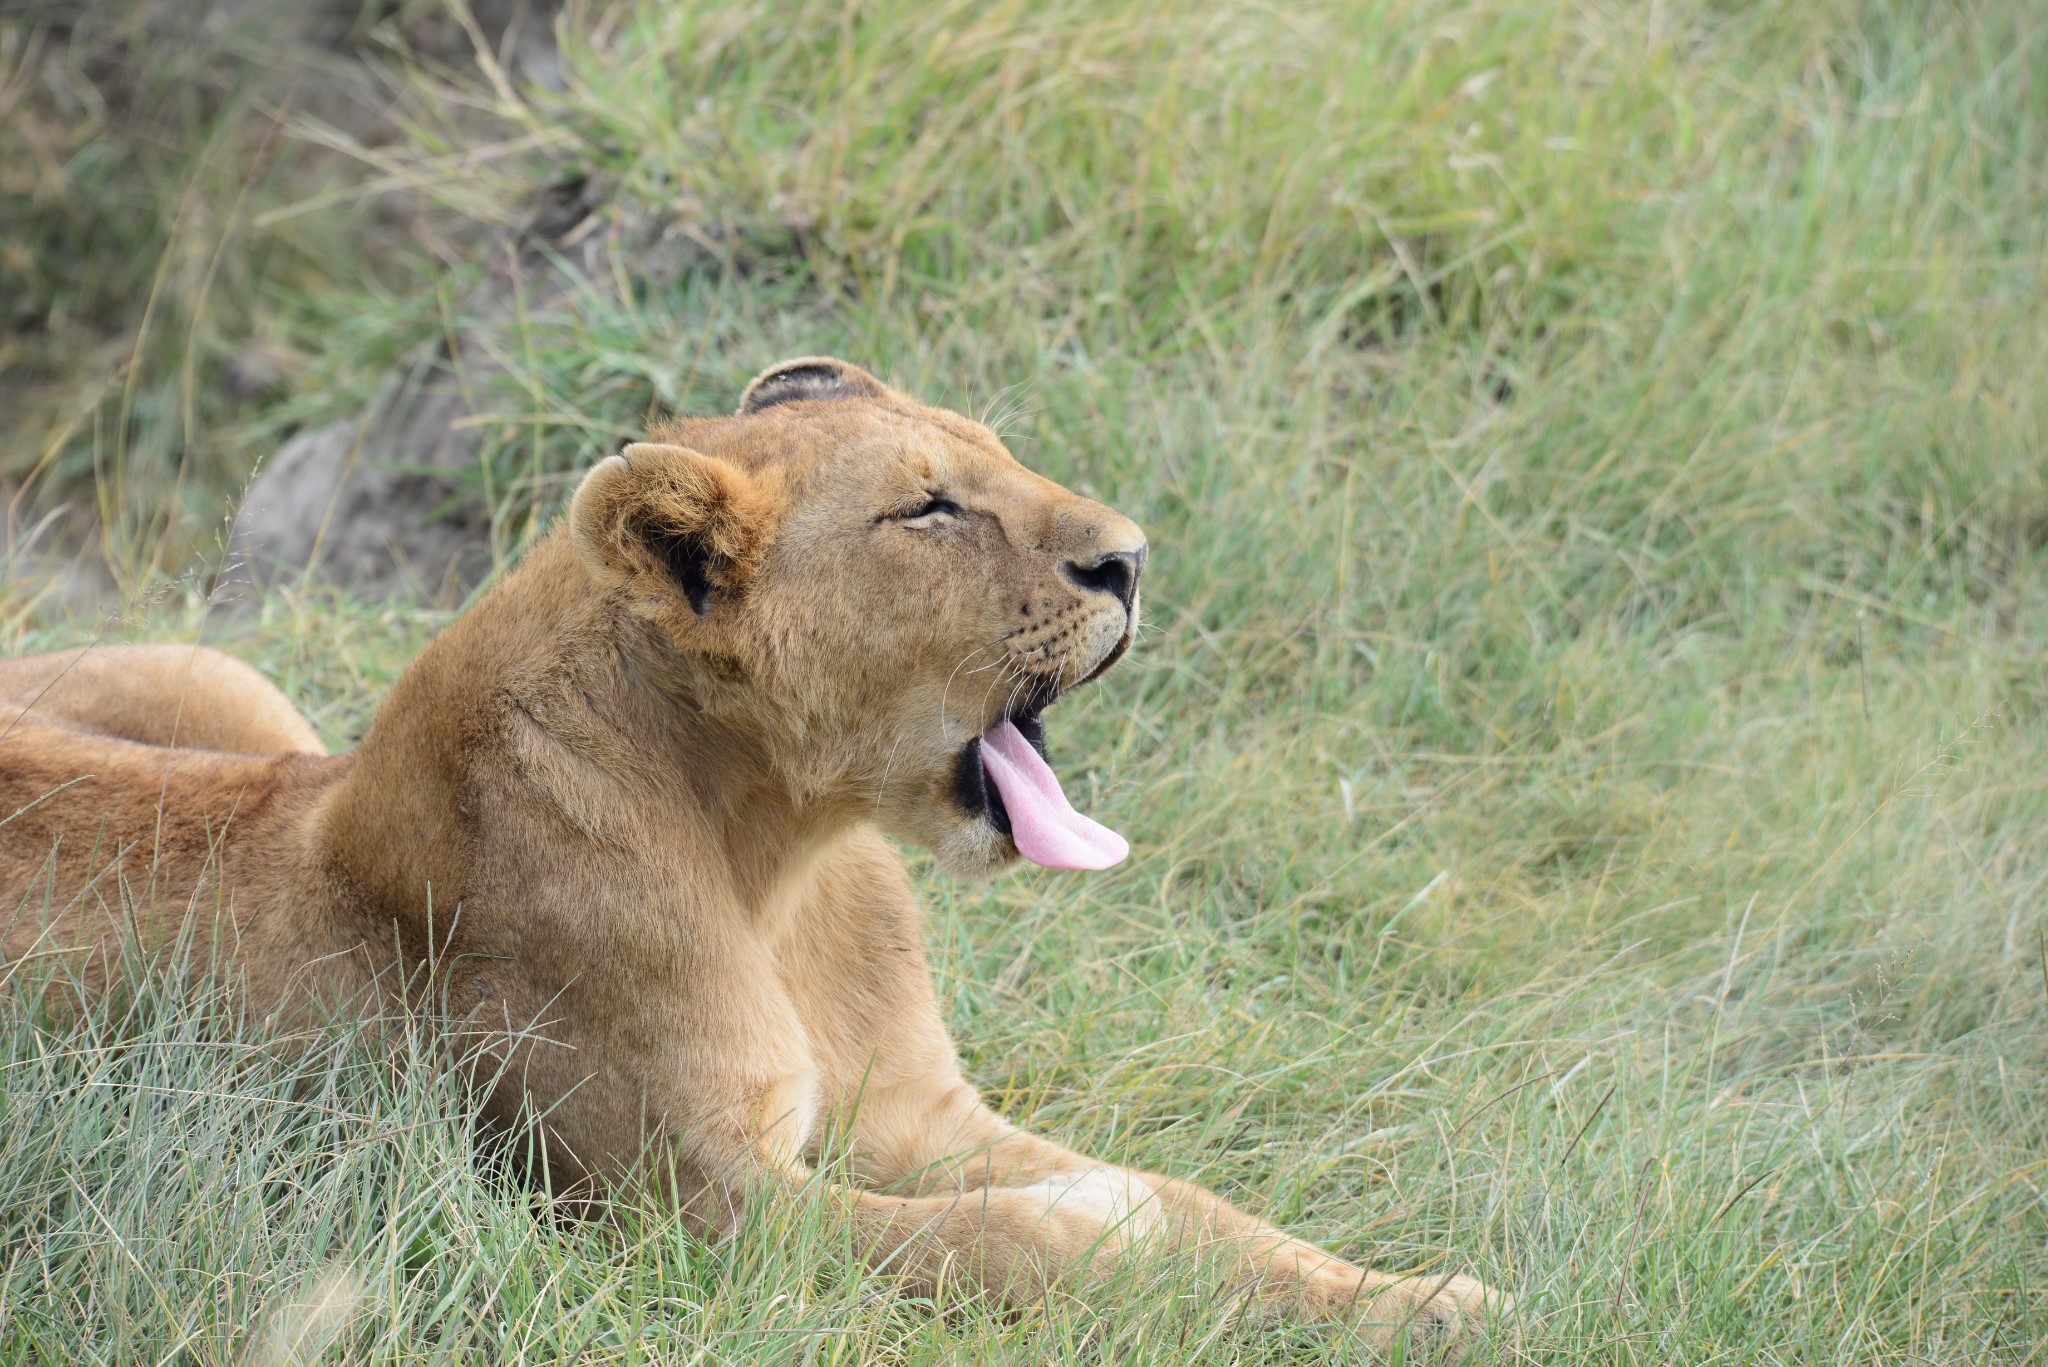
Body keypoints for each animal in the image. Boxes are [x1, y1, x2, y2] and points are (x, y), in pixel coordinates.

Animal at [0, 360, 1507, 1360]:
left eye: (993, 453)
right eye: (928, 510)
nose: (1130, 559)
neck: (786, 846)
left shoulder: (919, 1118)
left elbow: (1204, 1204)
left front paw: (1432, 1300)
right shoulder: (683, 1209)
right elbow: (1013, 1233)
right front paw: (1105, 1226)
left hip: (227, 681)